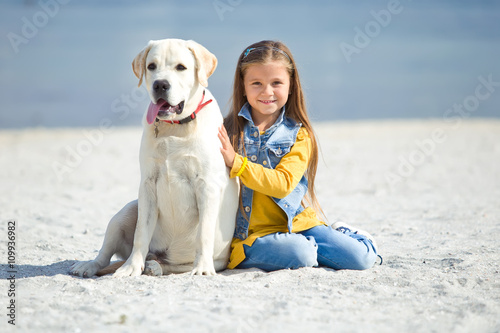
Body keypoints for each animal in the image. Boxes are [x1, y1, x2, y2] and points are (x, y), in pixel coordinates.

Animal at [70, 38, 240, 278]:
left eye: (181, 67)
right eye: (151, 66)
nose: (160, 85)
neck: (175, 127)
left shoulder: (207, 186)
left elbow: (204, 233)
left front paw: (202, 268)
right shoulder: (148, 184)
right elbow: (141, 233)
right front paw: (131, 267)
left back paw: (155, 266)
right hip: (127, 211)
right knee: (105, 253)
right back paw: (93, 265)